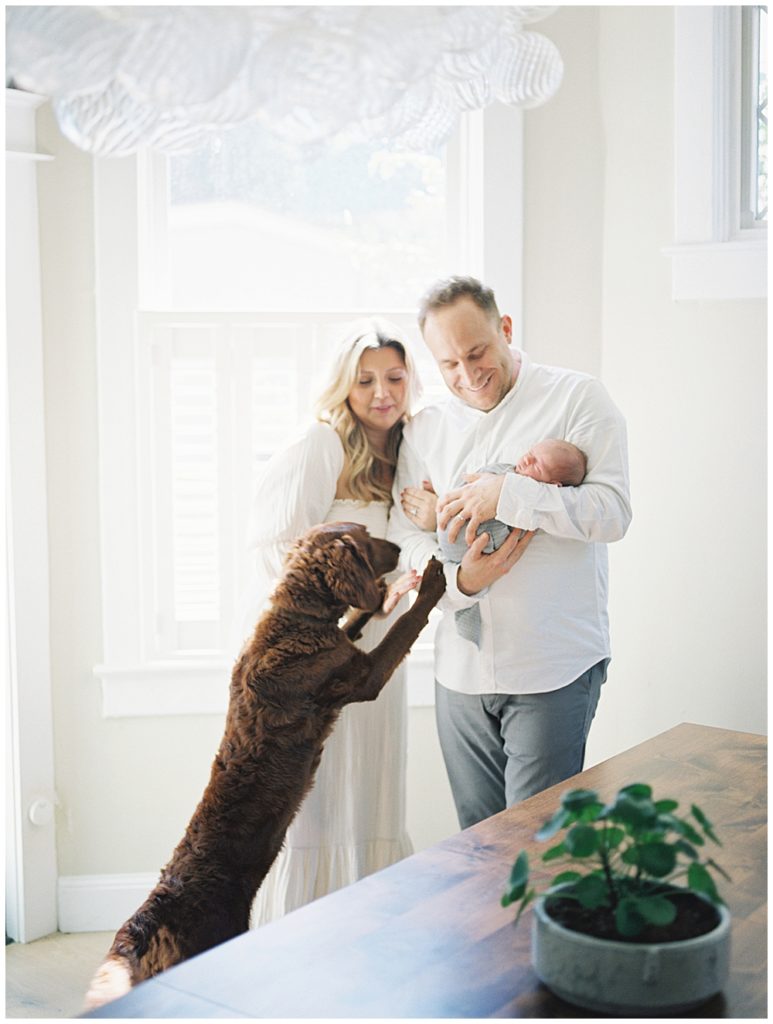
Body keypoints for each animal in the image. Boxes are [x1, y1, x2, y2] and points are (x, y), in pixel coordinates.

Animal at [85, 520, 444, 1007]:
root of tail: (142, 929)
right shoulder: (362, 676)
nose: (397, 548)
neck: (298, 620)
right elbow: (404, 627)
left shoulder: (343, 645)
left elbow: (356, 621)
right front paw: (429, 584)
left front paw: (394, 592)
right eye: (367, 537)